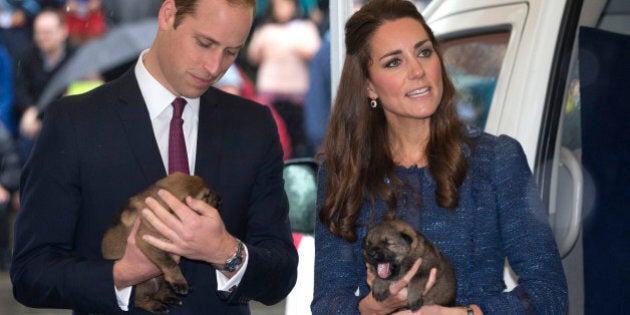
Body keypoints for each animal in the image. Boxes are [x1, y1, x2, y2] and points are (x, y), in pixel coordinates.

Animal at [101, 174, 222, 314]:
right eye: (206, 197)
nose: (220, 199)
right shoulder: (148, 241)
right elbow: (170, 263)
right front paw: (179, 281)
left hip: (159, 279)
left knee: (160, 289)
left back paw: (168, 297)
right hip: (145, 283)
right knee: (140, 301)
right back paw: (155, 305)